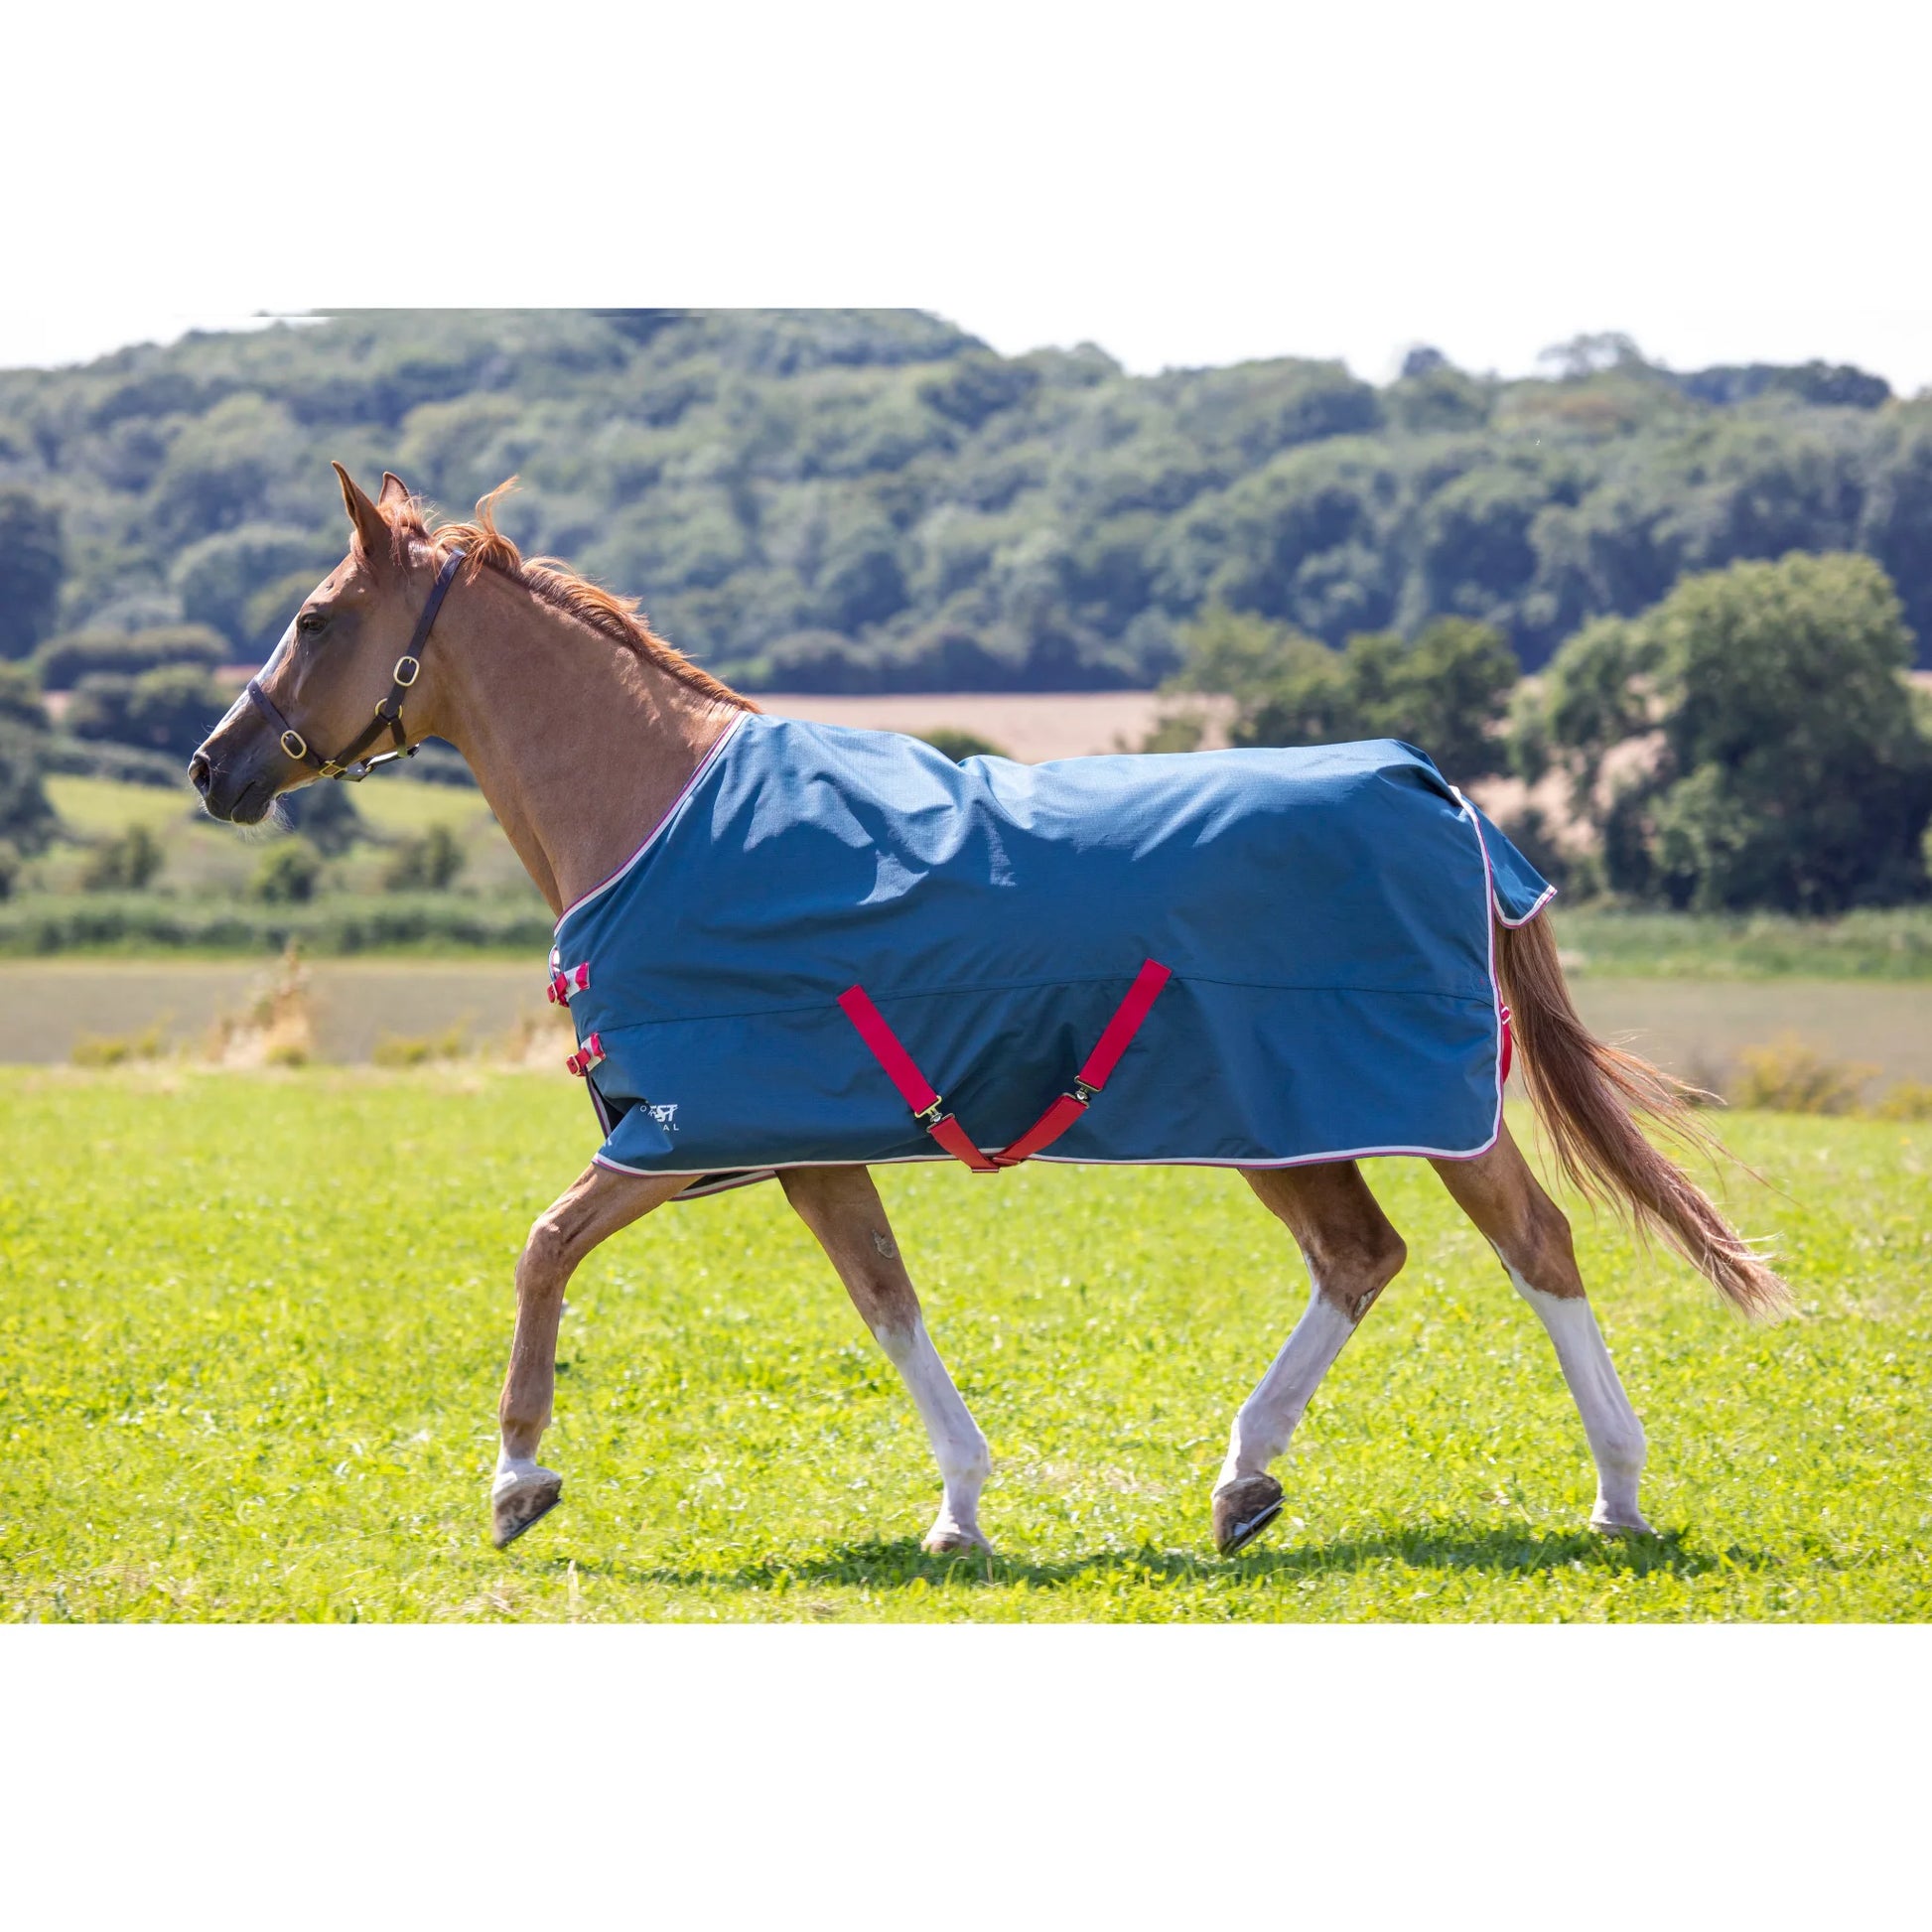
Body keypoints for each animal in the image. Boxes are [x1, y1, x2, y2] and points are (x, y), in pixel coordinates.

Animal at [190, 464, 1790, 1559]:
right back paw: (1244, 1478)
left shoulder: (684, 1129)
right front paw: (959, 1506)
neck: (661, 812)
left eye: (317, 618)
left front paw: (517, 1478)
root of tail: (1435, 787)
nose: (214, 768)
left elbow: (542, 1247)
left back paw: (1615, 1491)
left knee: (1536, 1245)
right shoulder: (803, 1146)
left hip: (1409, 1104)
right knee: (1361, 1255)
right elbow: (886, 1302)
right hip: (1281, 1120)